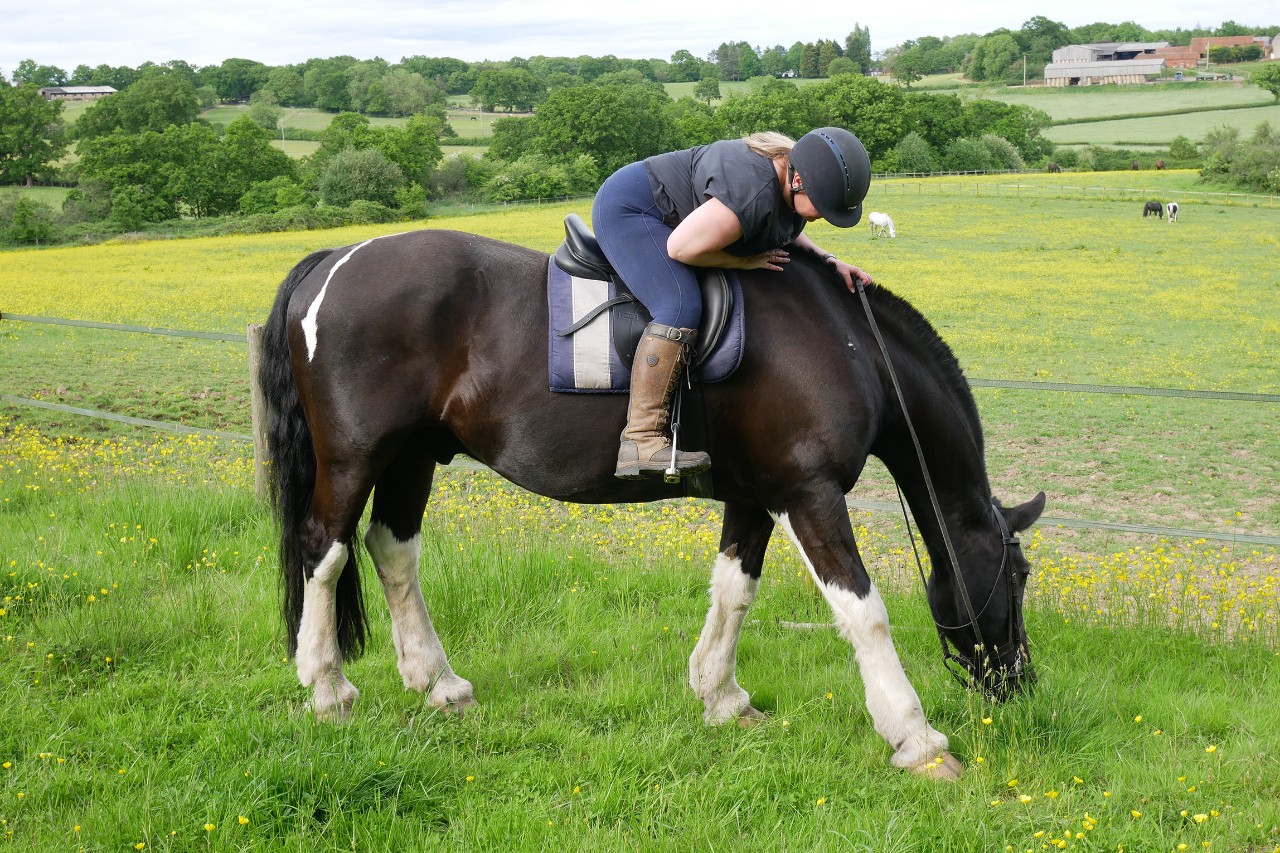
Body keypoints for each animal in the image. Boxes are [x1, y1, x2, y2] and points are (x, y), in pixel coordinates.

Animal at [262, 225, 1049, 778]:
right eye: (1018, 576)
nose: (1020, 683)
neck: (844, 340)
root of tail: (333, 262)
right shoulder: (810, 492)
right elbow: (864, 613)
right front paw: (916, 738)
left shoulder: (756, 496)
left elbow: (735, 589)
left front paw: (722, 697)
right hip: (355, 457)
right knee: (323, 552)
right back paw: (326, 689)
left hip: (413, 457)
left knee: (393, 551)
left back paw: (439, 683)